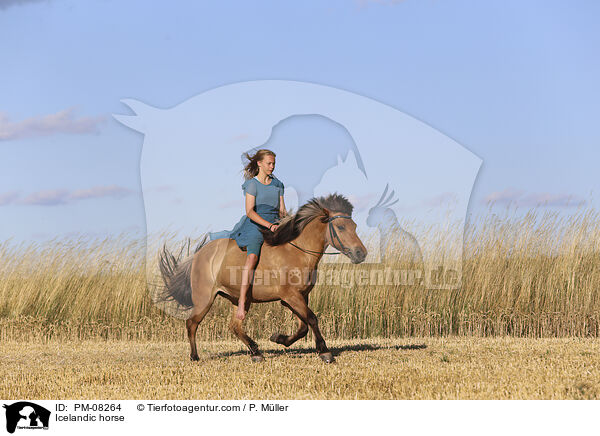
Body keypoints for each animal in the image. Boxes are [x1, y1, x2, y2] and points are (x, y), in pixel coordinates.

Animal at [158, 194, 366, 364]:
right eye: (340, 227)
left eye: (355, 226)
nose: (361, 253)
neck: (298, 252)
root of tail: (199, 255)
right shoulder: (291, 297)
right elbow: (312, 319)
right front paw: (325, 352)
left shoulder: (298, 297)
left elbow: (303, 326)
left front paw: (279, 338)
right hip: (204, 299)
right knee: (192, 323)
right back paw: (195, 356)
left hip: (241, 300)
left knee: (234, 326)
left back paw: (256, 352)